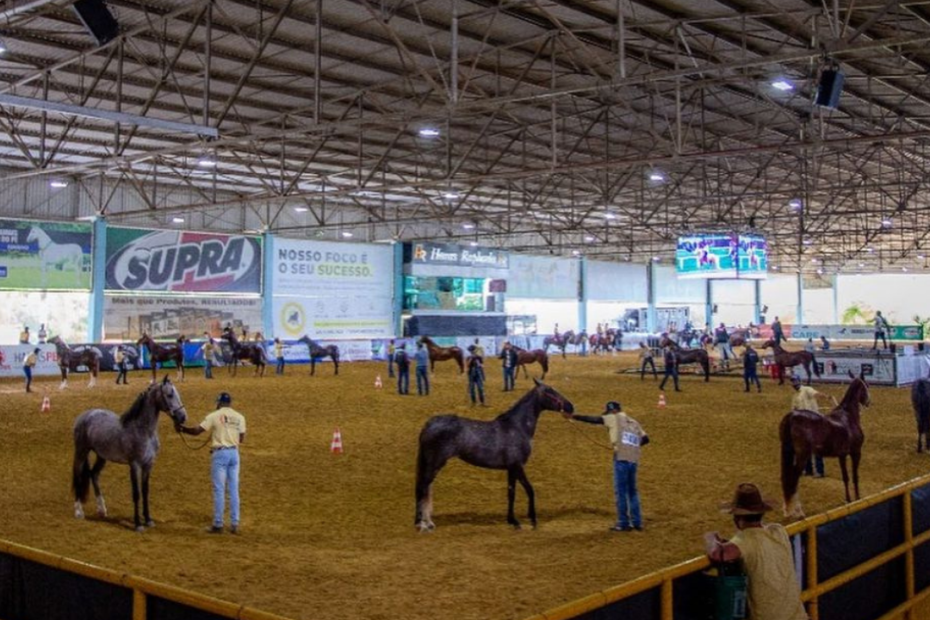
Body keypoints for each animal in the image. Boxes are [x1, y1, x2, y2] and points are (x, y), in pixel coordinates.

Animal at [74, 376, 188, 532]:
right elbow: (136, 493)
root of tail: (85, 415)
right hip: (81, 452)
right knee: (78, 477)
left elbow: (145, 491)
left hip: (101, 456)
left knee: (94, 474)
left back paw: (102, 510)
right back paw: (79, 511)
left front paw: (148, 520)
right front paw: (138, 524)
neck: (143, 430)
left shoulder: (148, 465)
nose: (182, 417)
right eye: (169, 394)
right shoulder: (135, 465)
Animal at [414, 380, 572, 532]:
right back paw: (422, 524)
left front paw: (513, 521)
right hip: (434, 463)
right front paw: (531, 520)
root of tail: (429, 424)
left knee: (425, 488)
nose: (570, 407)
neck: (517, 427)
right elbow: (529, 490)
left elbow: (511, 492)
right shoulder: (517, 466)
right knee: (422, 488)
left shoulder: (511, 469)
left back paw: (427, 522)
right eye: (549, 391)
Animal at [776, 372, 872, 520]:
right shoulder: (856, 452)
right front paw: (857, 498)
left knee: (787, 478)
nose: (868, 402)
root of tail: (792, 416)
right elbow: (855, 476)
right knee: (794, 478)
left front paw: (848, 499)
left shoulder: (841, 456)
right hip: (802, 456)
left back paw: (787, 510)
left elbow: (845, 477)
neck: (848, 416)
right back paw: (798, 512)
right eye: (866, 385)